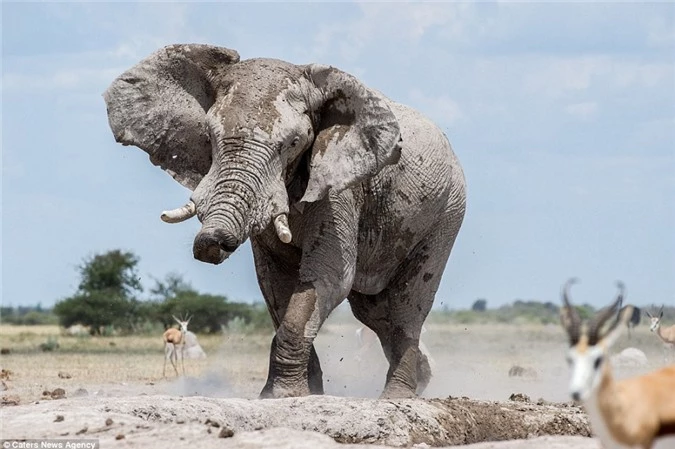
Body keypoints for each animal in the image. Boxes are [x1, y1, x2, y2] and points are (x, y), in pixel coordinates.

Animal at [103, 43, 468, 398]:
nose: (210, 244)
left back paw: (398, 395)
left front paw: (283, 394)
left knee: (405, 307)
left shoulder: (340, 186)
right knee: (376, 312)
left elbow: (328, 275)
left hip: (448, 212)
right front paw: (299, 393)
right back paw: (424, 376)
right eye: (208, 134)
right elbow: (276, 285)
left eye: (294, 143)